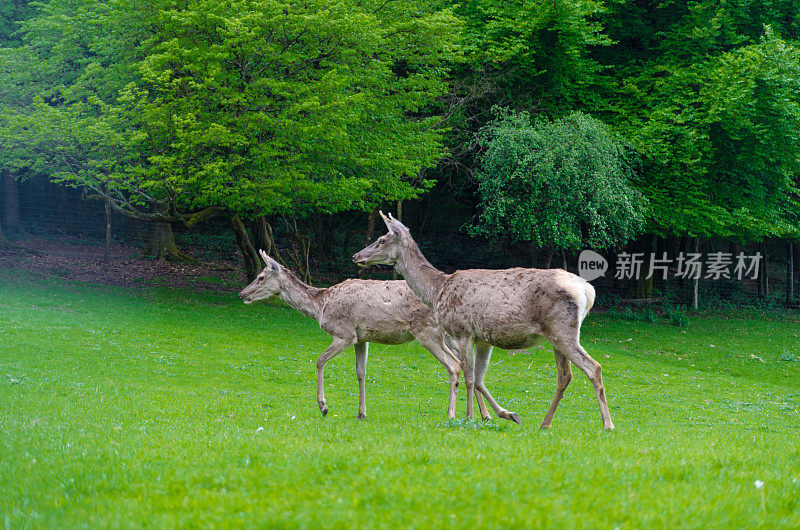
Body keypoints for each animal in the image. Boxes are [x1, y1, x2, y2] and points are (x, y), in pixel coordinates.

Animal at [238, 250, 488, 418]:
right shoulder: (362, 338)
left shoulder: (345, 333)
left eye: (261, 277)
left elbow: (319, 361)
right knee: (467, 366)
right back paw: (484, 415)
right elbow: (361, 373)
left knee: (454, 365)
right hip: (450, 334)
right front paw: (361, 413)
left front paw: (324, 406)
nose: (242, 293)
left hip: (427, 331)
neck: (321, 306)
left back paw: (452, 414)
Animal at [354, 210, 616, 428]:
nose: (356, 255)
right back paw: (545, 423)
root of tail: (588, 292)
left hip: (563, 330)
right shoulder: (483, 339)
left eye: (381, 239)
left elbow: (469, 377)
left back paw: (607, 424)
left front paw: (469, 417)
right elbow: (480, 379)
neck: (437, 291)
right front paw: (507, 414)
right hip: (555, 335)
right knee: (565, 376)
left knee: (594, 368)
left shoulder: (462, 331)